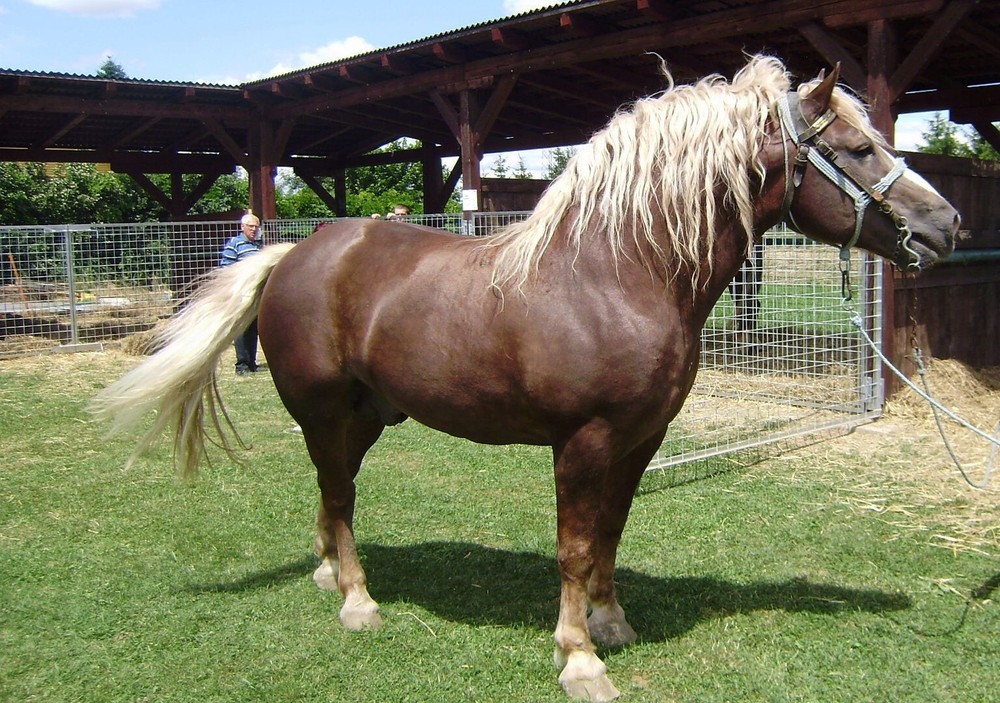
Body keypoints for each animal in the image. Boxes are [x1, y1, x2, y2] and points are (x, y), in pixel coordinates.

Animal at [93, 56, 959, 702]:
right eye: (857, 150)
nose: (946, 225)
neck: (616, 273)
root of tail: (294, 253)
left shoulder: (642, 440)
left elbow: (610, 533)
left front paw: (612, 623)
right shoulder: (583, 440)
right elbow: (574, 544)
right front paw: (580, 658)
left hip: (366, 416)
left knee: (332, 499)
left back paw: (326, 572)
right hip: (325, 413)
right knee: (339, 498)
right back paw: (357, 600)